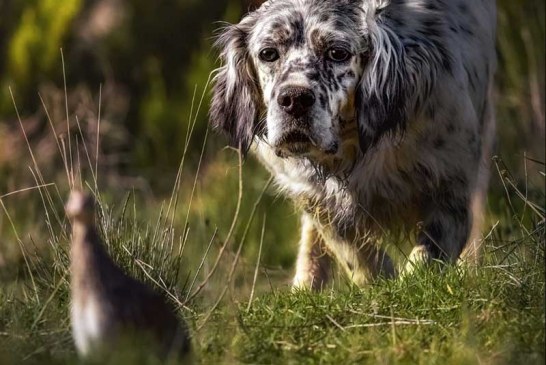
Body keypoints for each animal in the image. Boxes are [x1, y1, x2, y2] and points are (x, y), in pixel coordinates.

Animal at [209, 0, 498, 290]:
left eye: (338, 53)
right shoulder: (315, 197)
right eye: (268, 53)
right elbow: (356, 255)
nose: (294, 99)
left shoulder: (451, 187)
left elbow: (425, 261)